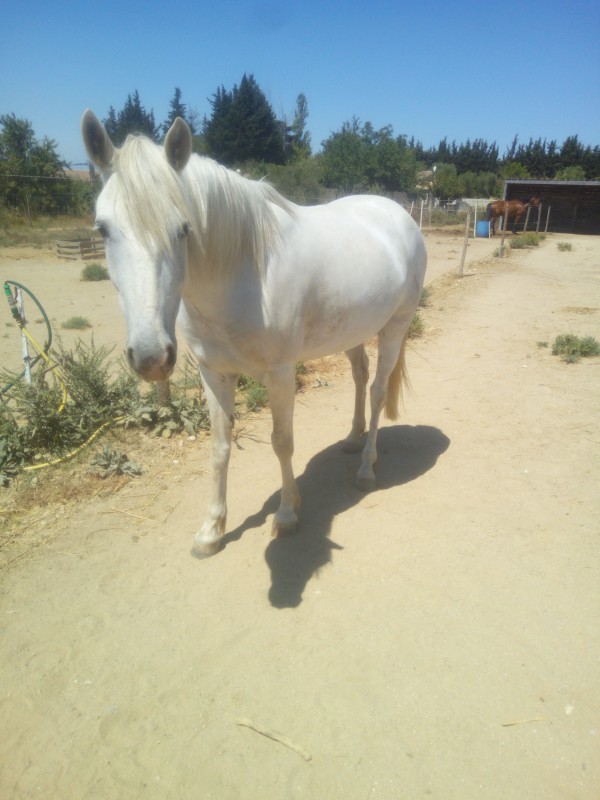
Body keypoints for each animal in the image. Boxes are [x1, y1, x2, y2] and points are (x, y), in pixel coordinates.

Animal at [81, 110, 427, 558]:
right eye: (102, 229)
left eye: (183, 229)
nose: (152, 356)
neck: (243, 272)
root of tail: (398, 214)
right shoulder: (214, 373)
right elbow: (219, 447)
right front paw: (212, 529)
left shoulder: (280, 375)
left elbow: (282, 442)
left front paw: (287, 515)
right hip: (352, 331)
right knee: (360, 375)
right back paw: (353, 439)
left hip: (394, 328)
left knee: (378, 391)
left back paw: (366, 468)